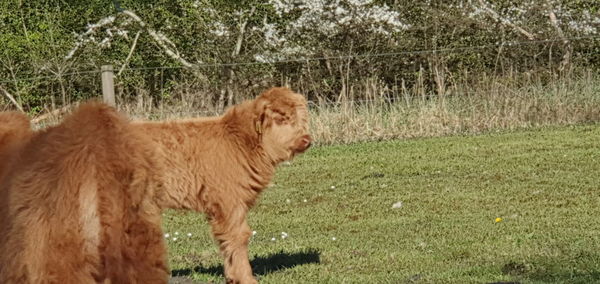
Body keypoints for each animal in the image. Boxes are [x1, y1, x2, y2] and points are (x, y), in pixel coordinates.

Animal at [1, 87, 314, 284]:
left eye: (302, 117)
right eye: (281, 117)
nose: (307, 140)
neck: (240, 143)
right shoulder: (229, 202)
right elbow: (238, 238)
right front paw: (246, 277)